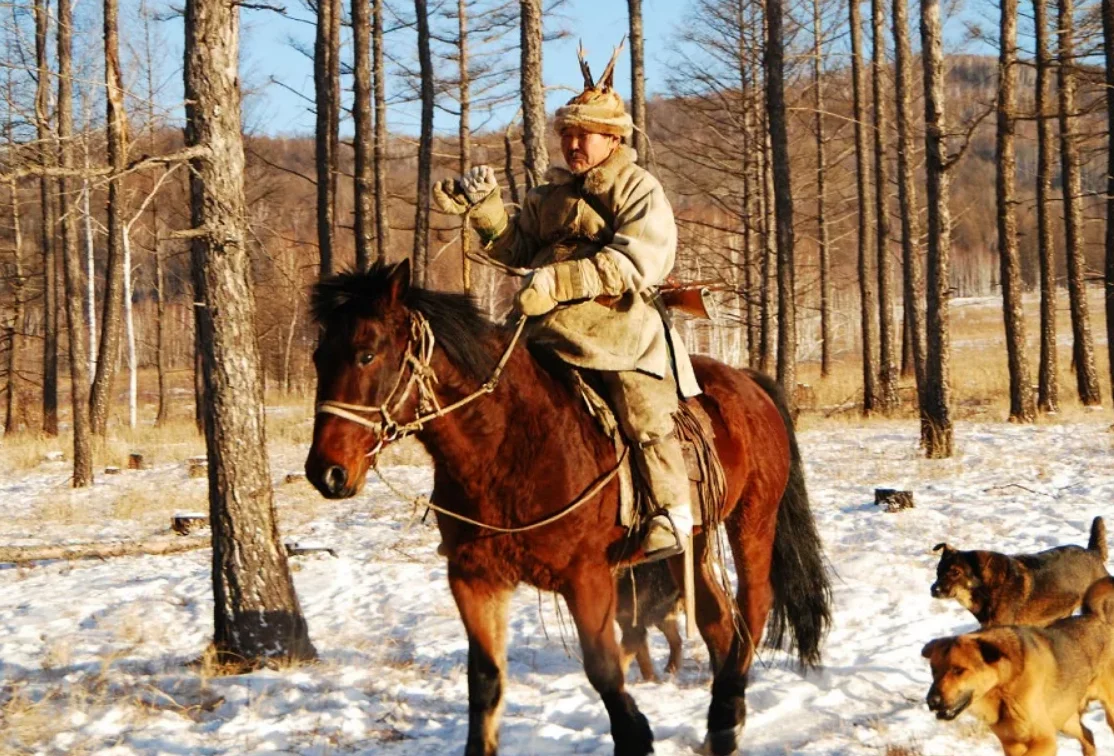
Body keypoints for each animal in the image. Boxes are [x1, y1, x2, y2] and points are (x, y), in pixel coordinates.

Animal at [303, 260, 828, 756]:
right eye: (318, 357)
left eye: (367, 354)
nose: (325, 473)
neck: (508, 445)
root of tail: (749, 383)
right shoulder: (475, 578)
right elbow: (486, 681)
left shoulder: (587, 577)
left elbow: (605, 669)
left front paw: (637, 736)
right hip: (693, 539)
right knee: (717, 618)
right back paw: (723, 724)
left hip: (753, 521)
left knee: (753, 605)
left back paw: (724, 713)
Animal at [926, 574, 1114, 752]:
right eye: (933, 671)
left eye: (958, 670)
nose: (931, 702)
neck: (1003, 687)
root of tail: (1098, 618)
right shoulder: (1012, 744)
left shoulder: (1044, 740)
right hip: (1065, 717)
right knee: (1088, 735)